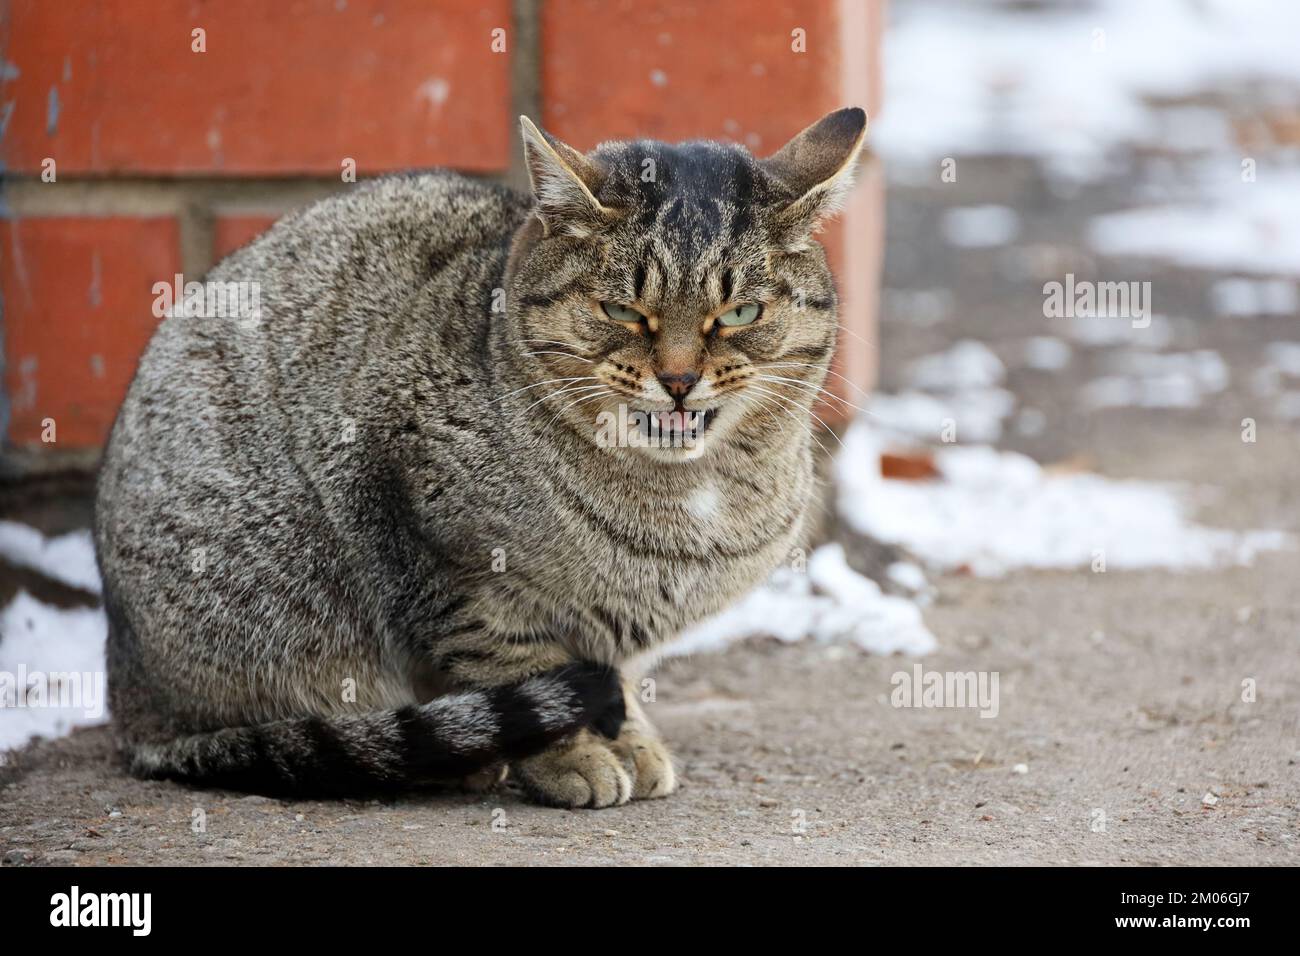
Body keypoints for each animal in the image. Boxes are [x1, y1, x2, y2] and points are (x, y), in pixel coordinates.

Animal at [96, 104, 868, 806]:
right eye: (622, 311)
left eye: (739, 315)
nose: (678, 380)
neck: (687, 492)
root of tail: (127, 691)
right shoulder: (448, 561)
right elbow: (513, 665)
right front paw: (571, 756)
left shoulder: (609, 628)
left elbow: (608, 679)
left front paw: (630, 738)